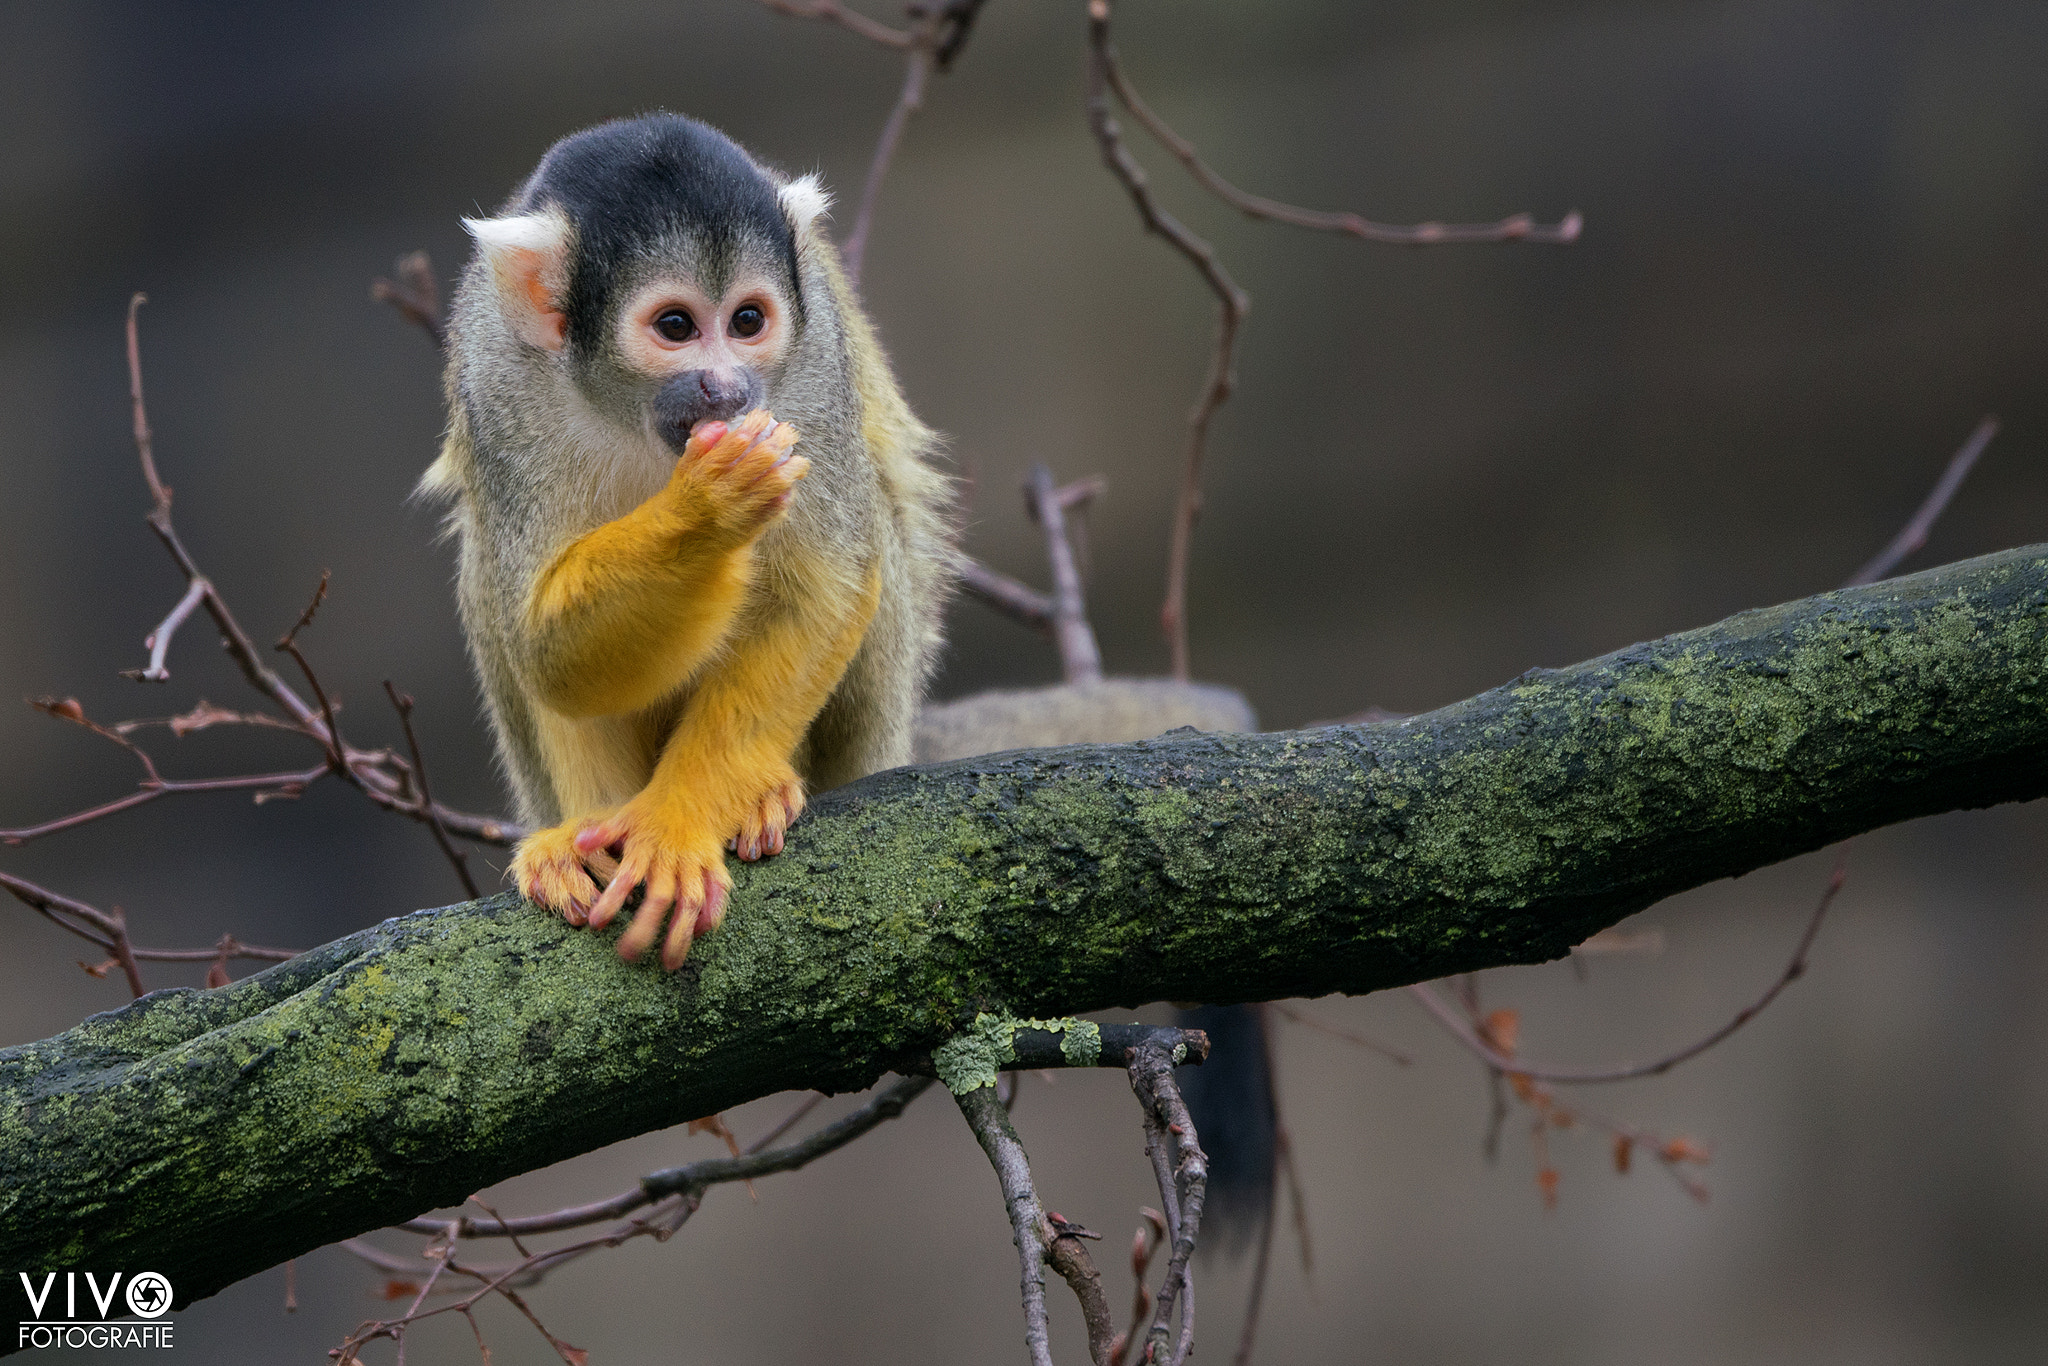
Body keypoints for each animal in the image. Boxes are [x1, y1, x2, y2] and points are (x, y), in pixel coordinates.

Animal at [421, 114, 958, 970]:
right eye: (675, 327)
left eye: (748, 321)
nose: (726, 388)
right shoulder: (498, 377)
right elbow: (549, 651)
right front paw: (707, 513)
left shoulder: (810, 370)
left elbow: (828, 582)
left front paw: (678, 824)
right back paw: (576, 834)